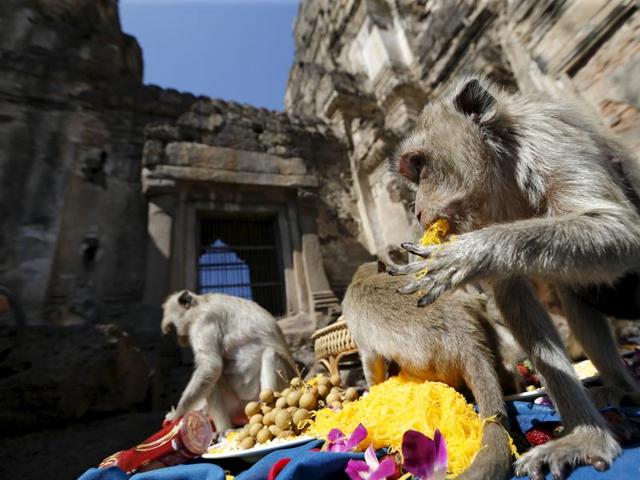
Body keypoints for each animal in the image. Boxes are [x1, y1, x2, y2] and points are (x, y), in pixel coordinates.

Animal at [161, 290, 297, 433]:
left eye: (173, 329)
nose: (178, 342)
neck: (203, 302)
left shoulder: (204, 322)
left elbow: (211, 365)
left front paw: (177, 413)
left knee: (270, 354)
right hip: (237, 407)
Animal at [343, 261, 522, 480]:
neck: (364, 278)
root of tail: (466, 339)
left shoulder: (362, 340)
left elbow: (371, 363)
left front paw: (371, 389)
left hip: (426, 364)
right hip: (472, 308)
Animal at [388, 76, 640, 478]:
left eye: (420, 166)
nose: (416, 209)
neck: (506, 165)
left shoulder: (549, 141)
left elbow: (620, 230)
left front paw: (465, 254)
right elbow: (514, 297)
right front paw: (584, 435)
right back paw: (619, 387)